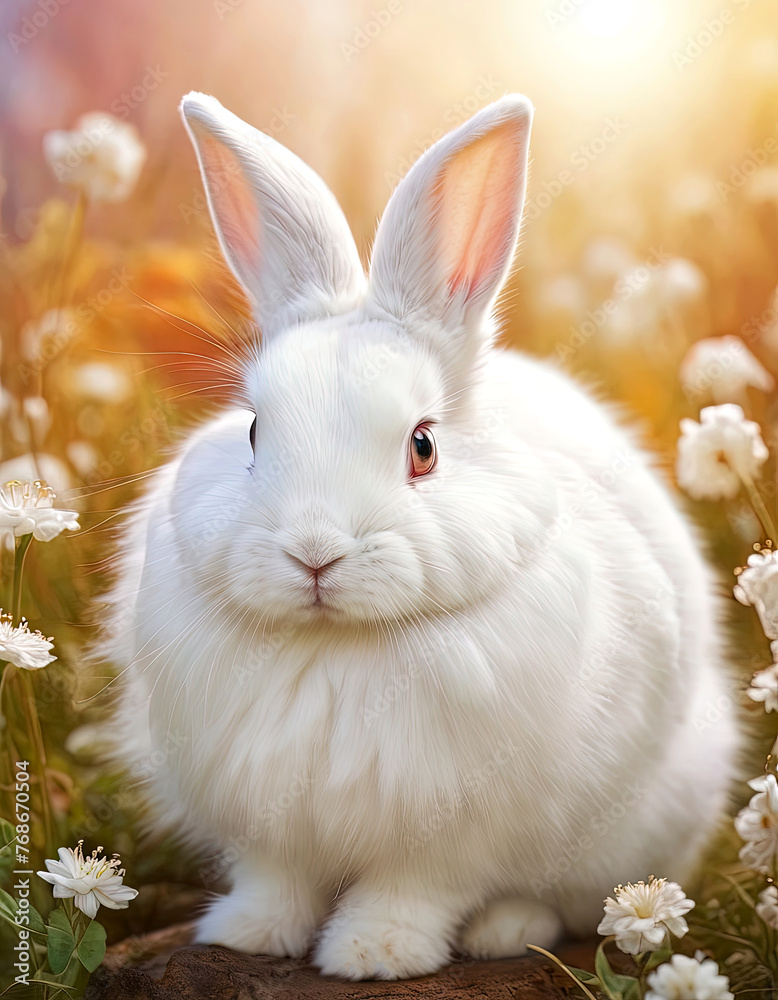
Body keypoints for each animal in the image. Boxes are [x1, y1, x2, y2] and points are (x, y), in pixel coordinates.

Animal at [101, 90, 738, 980]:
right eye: (256, 430)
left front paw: (375, 954)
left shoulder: (453, 832)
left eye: (424, 446)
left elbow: (416, 888)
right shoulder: (267, 822)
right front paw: (248, 934)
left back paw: (504, 929)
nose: (314, 554)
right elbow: (276, 878)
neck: (336, 646)